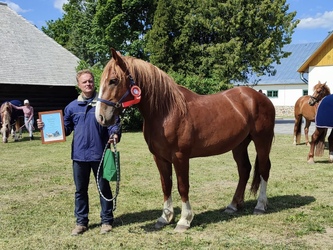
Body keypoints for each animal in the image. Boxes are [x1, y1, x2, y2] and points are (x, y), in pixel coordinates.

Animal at [94, 48, 274, 232]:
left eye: (113, 80)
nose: (100, 117)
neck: (167, 111)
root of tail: (260, 97)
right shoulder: (160, 158)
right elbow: (166, 185)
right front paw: (165, 218)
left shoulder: (180, 157)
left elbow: (182, 186)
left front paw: (184, 220)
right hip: (239, 145)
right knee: (244, 170)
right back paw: (233, 205)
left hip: (262, 140)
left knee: (264, 169)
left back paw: (260, 206)